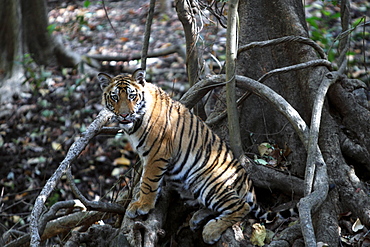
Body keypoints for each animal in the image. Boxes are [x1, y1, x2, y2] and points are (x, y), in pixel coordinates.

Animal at [98, 68, 298, 244]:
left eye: (132, 96)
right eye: (115, 97)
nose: (125, 115)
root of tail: (248, 183)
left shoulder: (157, 153)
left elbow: (148, 181)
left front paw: (142, 205)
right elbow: (147, 180)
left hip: (207, 181)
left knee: (241, 206)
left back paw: (210, 231)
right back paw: (197, 218)